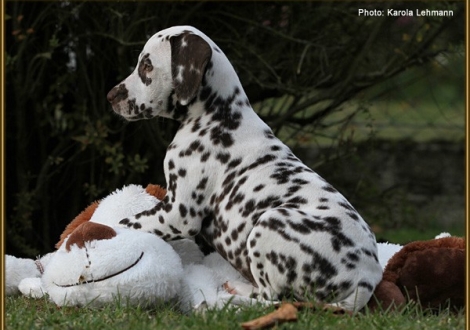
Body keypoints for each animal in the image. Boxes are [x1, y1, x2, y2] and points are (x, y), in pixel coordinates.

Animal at [106, 25, 382, 312]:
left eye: (147, 66)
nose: (110, 96)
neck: (218, 117)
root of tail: (366, 281)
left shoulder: (178, 214)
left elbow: (123, 222)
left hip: (269, 222)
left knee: (272, 298)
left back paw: (225, 299)